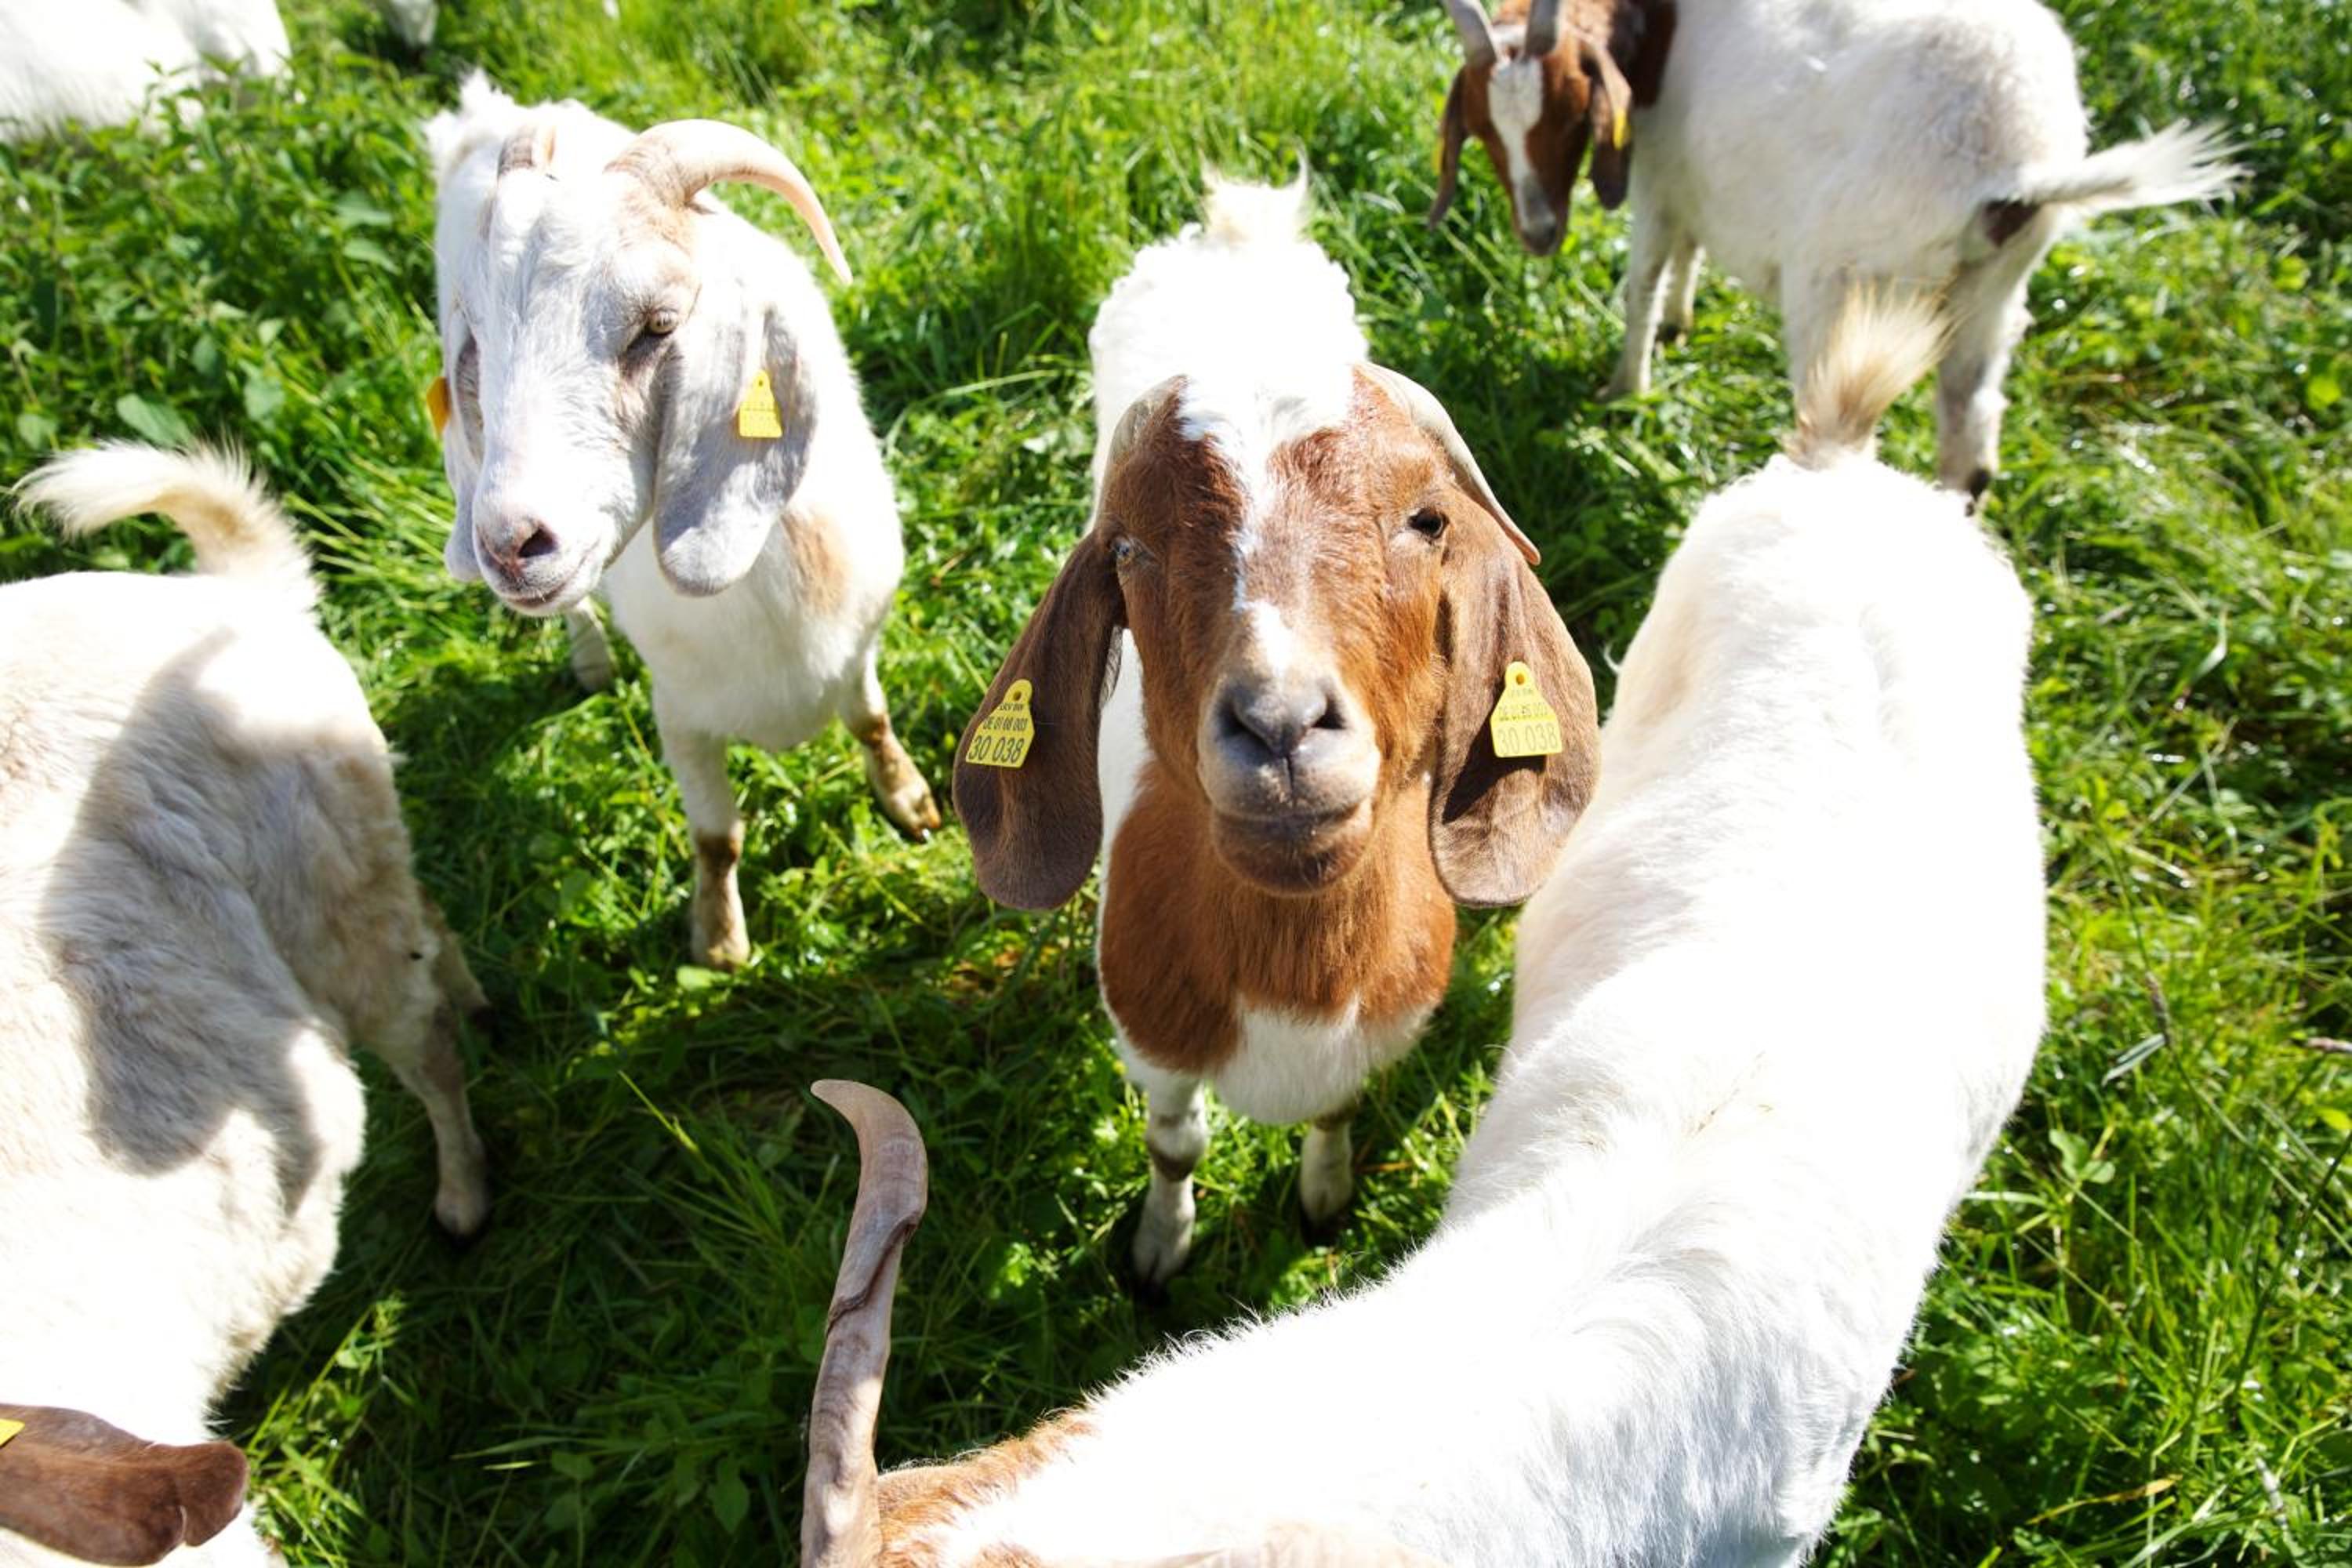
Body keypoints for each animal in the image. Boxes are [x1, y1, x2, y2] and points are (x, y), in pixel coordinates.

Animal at [423, 74, 941, 971]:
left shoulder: (857, 643)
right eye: (474, 348)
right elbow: (716, 837)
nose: (509, 544)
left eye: (657, 324)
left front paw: (909, 798)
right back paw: (591, 661)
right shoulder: (681, 713)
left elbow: (871, 720)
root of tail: (481, 112)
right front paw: (720, 943)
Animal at [806, 295, 2048, 1565]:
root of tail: (1844, 468)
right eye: (1132, 552)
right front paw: (1157, 1248)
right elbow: (1175, 1139)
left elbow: (1334, 1117)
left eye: (1425, 517)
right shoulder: (1156, 1037)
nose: (1280, 725)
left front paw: (1316, 1198)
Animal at [1428, 0, 2238, 497]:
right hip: (1991, 292)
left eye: (1569, 112)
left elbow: (1645, 281)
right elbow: (1690, 253)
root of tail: (2013, 162)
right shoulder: (1693, 174)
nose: (1538, 231)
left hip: (1845, 285)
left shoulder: (1656, 174)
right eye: (1484, 124)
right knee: (1971, 430)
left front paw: (1625, 390)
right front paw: (1680, 325)